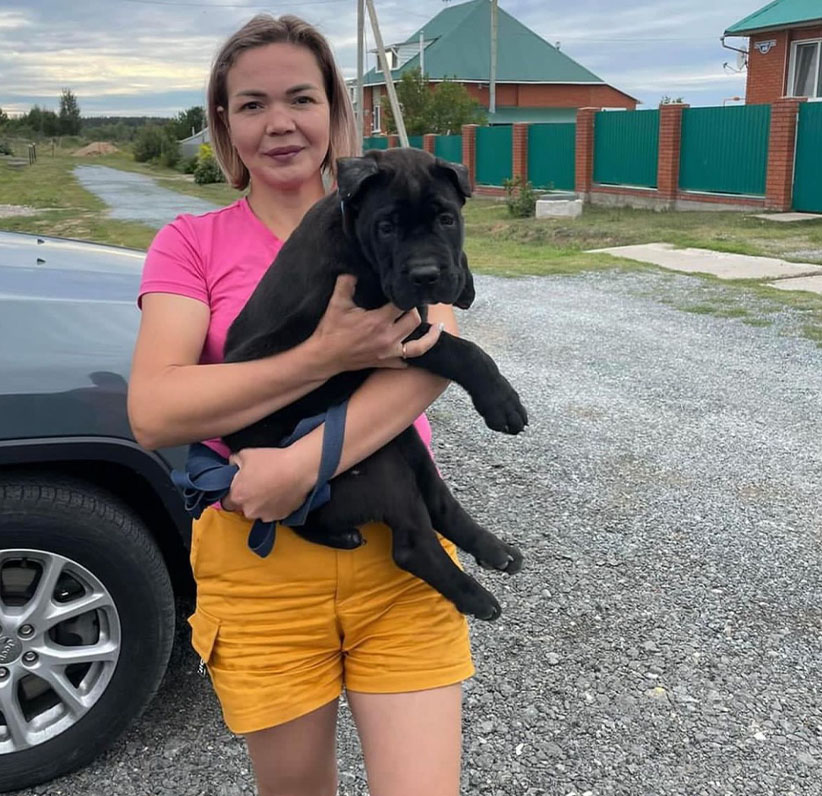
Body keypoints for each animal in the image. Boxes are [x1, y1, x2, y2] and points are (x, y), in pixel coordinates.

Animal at [222, 149, 528, 620]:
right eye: (386, 227)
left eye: (447, 218)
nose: (426, 275)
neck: (354, 241)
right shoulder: (386, 332)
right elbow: (462, 349)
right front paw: (502, 402)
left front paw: (465, 282)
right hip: (374, 460)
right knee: (410, 543)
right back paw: (475, 596)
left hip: (401, 442)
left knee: (435, 503)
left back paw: (492, 550)